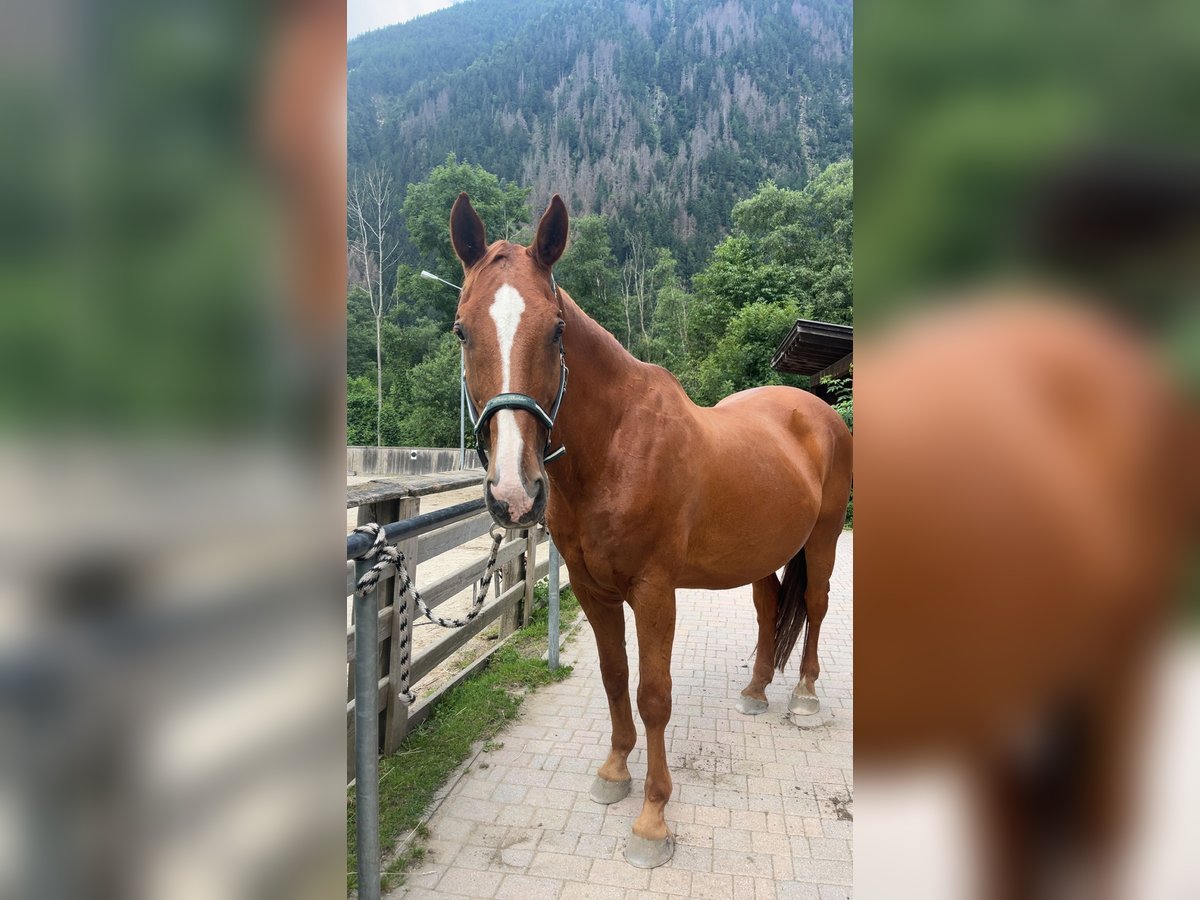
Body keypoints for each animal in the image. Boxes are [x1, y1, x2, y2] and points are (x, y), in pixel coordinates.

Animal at [451, 192, 854, 868]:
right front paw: (615, 772)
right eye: (462, 330)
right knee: (771, 606)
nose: (514, 493)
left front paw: (652, 821)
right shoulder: (594, 590)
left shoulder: (654, 590)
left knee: (817, 606)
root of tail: (816, 409)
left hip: (822, 537)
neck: (617, 446)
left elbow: (653, 695)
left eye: (555, 330)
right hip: (760, 550)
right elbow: (615, 678)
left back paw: (803, 698)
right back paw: (755, 691)